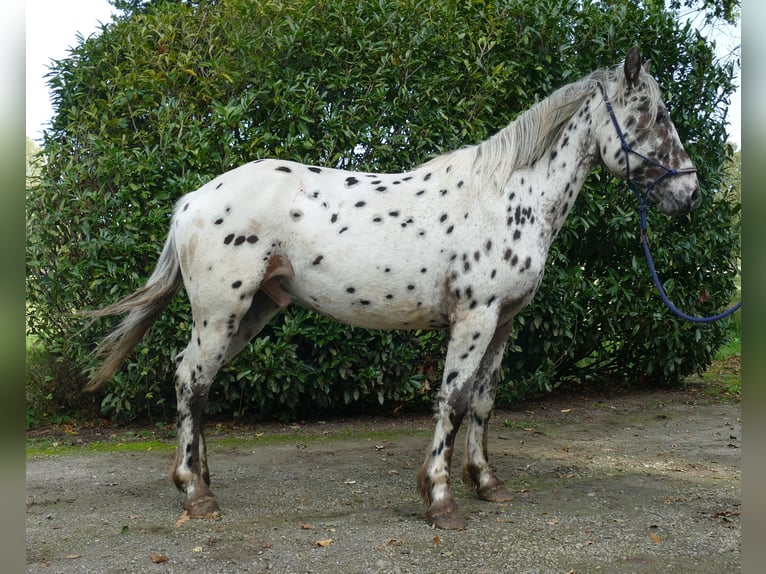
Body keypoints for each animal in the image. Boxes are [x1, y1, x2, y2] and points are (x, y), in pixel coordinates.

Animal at [85, 48, 704, 532]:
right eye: (653, 114)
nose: (692, 194)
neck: (508, 194)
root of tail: (192, 200)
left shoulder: (504, 320)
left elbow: (484, 401)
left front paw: (486, 483)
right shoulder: (475, 317)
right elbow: (453, 400)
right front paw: (441, 499)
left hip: (252, 311)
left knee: (196, 380)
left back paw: (199, 481)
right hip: (222, 312)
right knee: (192, 380)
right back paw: (197, 494)